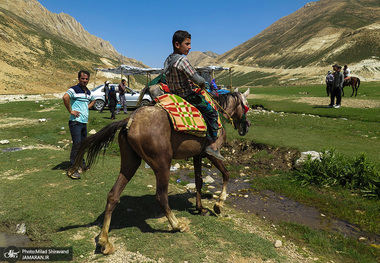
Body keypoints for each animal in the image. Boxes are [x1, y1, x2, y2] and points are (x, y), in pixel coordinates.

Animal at [68, 89, 251, 256]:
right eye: (246, 105)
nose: (246, 126)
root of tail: (129, 121)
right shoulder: (211, 153)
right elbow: (226, 174)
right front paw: (218, 204)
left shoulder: (197, 155)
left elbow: (199, 181)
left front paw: (201, 209)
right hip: (163, 164)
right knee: (161, 196)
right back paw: (177, 225)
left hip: (130, 163)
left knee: (113, 194)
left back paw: (104, 241)